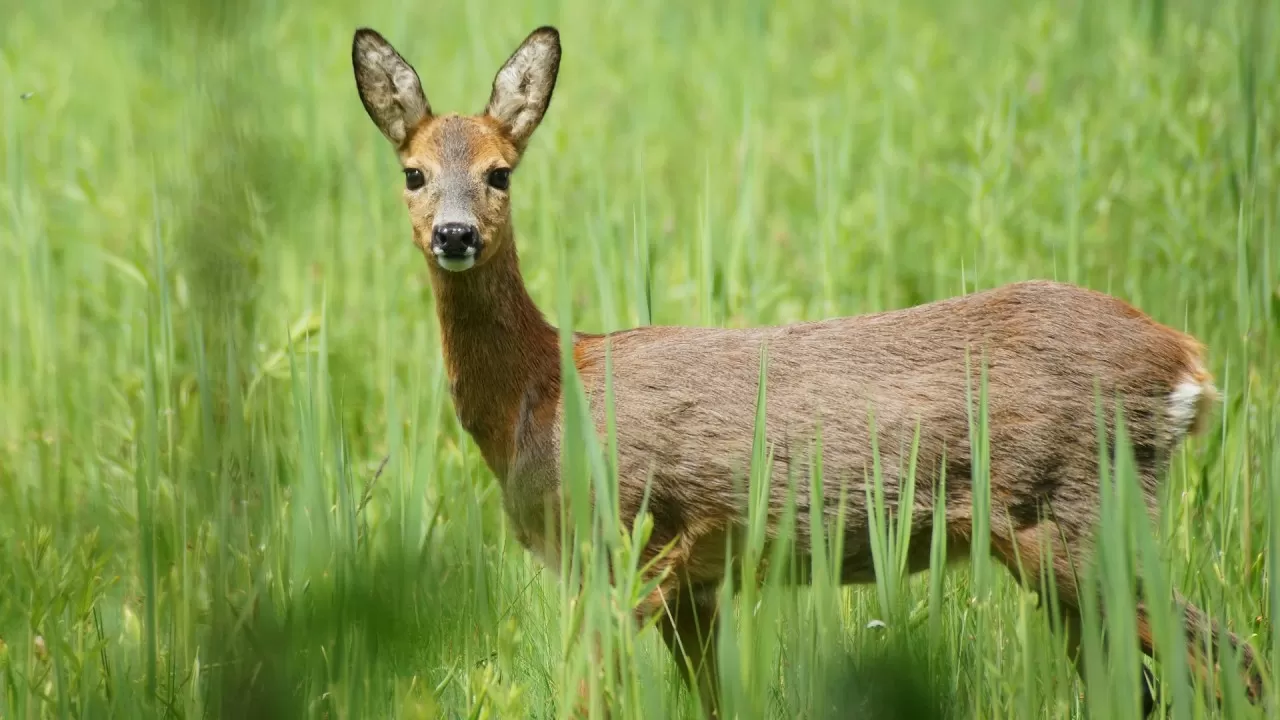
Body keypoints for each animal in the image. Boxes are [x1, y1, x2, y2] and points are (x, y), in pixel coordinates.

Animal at [350, 25, 1259, 712]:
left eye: (500, 171)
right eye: (414, 172)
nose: (456, 234)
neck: (539, 391)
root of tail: (1188, 362)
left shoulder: (634, 541)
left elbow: (583, 695)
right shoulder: (697, 582)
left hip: (1081, 512)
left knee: (1232, 660)